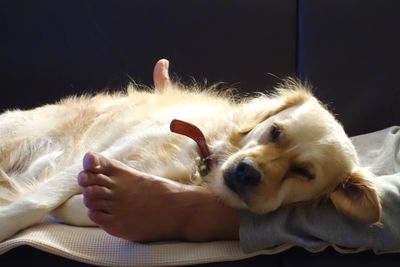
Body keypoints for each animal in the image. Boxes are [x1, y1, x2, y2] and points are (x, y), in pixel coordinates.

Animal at [0, 60, 382, 243]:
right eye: (275, 132)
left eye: (303, 173)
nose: (246, 172)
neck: (200, 164)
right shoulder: (99, 153)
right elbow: (36, 202)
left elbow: (80, 207)